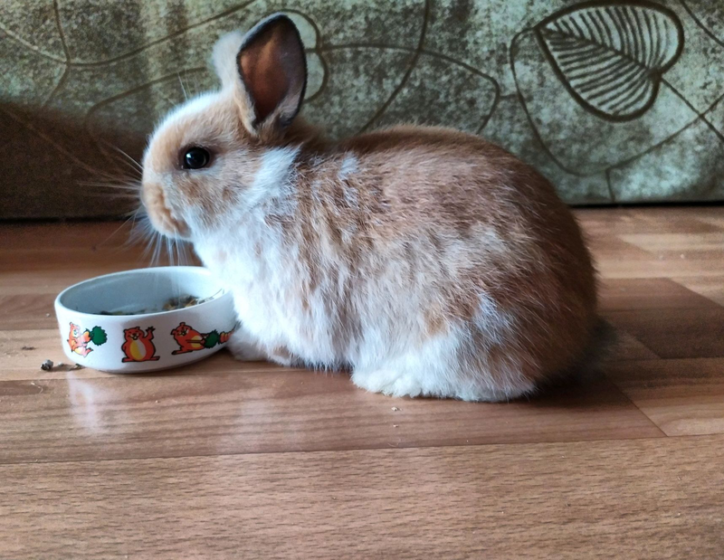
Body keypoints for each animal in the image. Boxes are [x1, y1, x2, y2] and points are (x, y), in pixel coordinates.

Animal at [140, 13, 599, 402]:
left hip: (470, 320)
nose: (150, 207)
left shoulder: (283, 311)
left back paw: (384, 380)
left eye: (194, 158)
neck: (259, 189)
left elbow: (279, 344)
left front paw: (240, 345)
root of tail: (575, 335)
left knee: (499, 382)